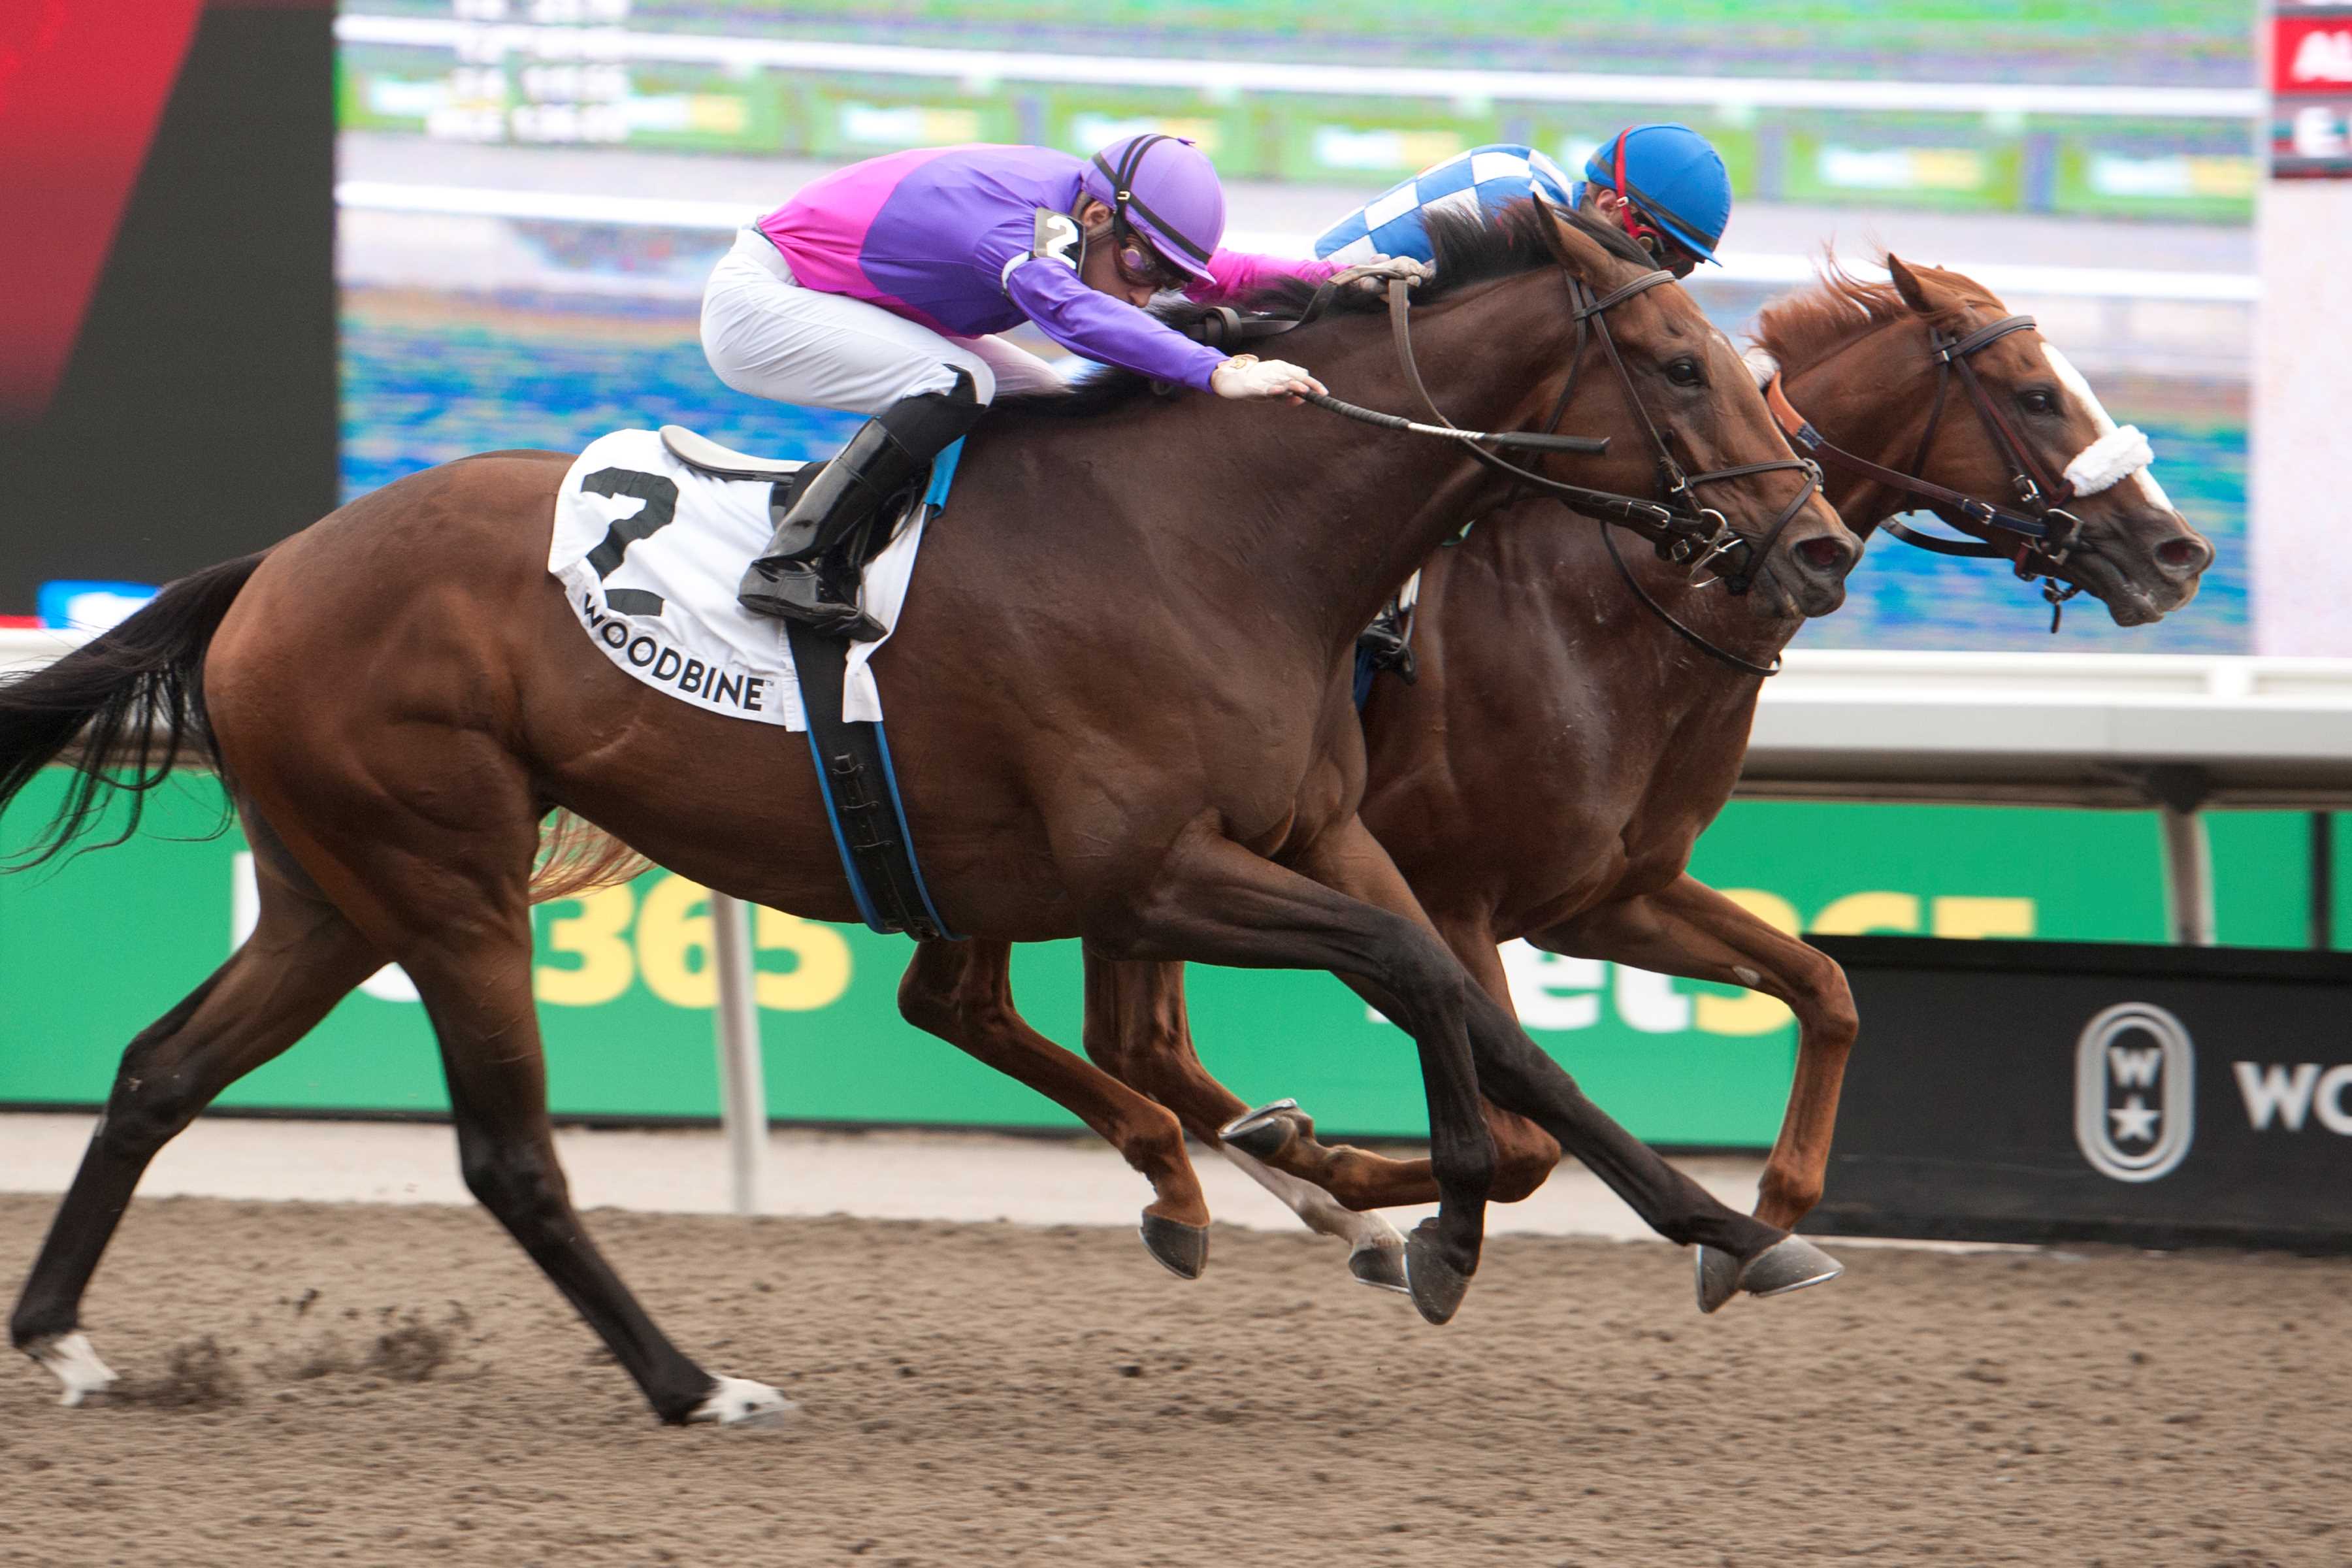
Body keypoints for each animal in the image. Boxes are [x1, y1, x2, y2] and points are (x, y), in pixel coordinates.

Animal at [9, 202, 1863, 1420]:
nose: (1819, 545)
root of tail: (277, 562)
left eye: (1744, 364)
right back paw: (695, 1382)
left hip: (340, 886)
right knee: (509, 1153)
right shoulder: (1160, 869)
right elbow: (1421, 990)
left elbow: (1505, 1033)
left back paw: (62, 1338)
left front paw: (1725, 1230)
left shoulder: (1328, 838)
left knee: (162, 1069)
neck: (1232, 538)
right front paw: (1443, 1233)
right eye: (1679, 366)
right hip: (446, 877)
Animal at [889, 248, 2211, 1298]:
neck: (1613, 605)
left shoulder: (1604, 893)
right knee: (1103, 1033)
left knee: (989, 1011)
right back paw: (1286, 1179)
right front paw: (1384, 1188)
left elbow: (1826, 987)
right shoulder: (1457, 893)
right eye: (2037, 393)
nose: (2181, 551)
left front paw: (1761, 1223)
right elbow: (1523, 1134)